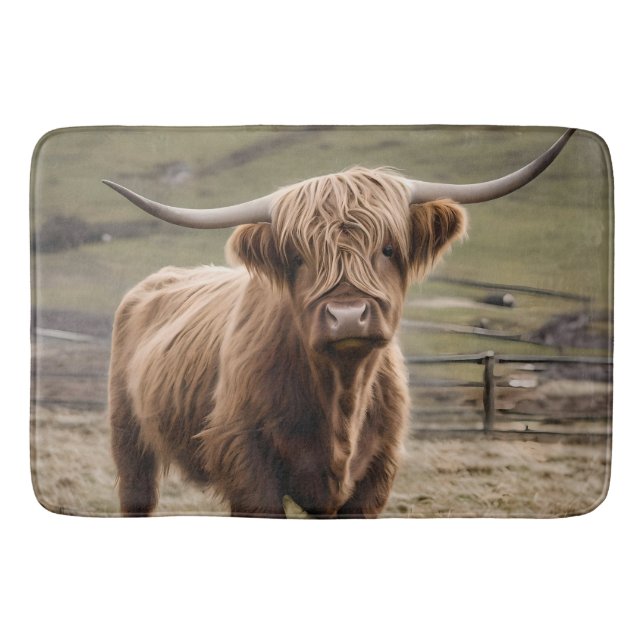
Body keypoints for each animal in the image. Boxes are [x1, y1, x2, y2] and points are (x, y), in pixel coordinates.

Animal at [105, 129, 574, 518]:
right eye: (298, 257)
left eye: (388, 248)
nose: (347, 315)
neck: (340, 398)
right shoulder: (247, 465)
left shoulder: (375, 476)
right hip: (127, 437)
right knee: (136, 493)